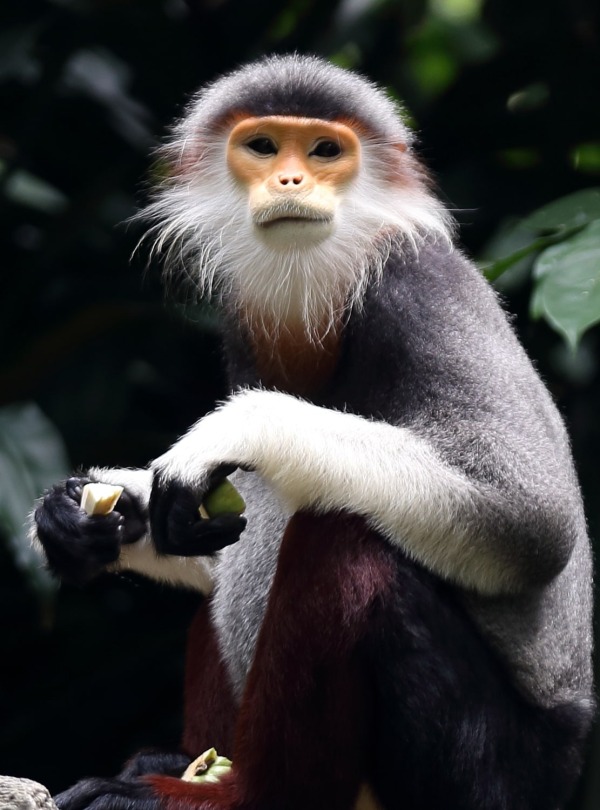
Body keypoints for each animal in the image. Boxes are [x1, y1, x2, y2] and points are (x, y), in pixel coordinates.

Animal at [30, 56, 592, 808]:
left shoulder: (422, 287)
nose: (291, 180)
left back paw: (206, 792)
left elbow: (534, 520)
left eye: (324, 151)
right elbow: (206, 536)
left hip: (485, 775)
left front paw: (240, 425)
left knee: (341, 539)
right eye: (264, 147)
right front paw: (80, 520)